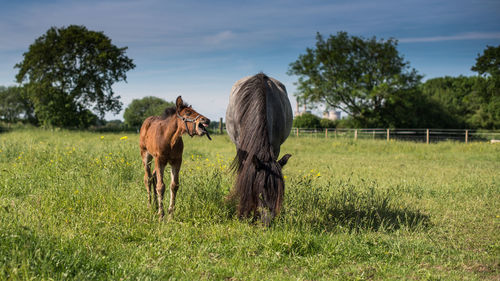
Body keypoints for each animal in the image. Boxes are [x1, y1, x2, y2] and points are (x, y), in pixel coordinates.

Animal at [226, 73, 292, 224]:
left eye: (280, 194)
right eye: (260, 192)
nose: (267, 223)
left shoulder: (276, 147)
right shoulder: (241, 149)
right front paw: (244, 212)